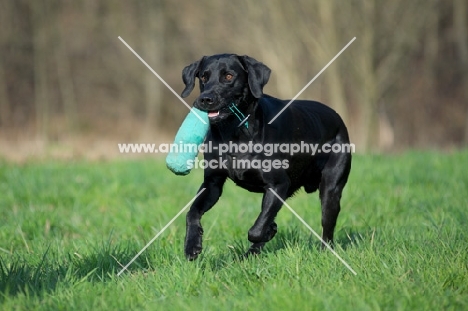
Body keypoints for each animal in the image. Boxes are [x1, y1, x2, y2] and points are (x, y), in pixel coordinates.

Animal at [181, 54, 350, 260]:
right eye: (203, 77)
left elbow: (256, 231)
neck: (234, 132)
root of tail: (337, 117)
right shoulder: (213, 183)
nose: (205, 99)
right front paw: (192, 246)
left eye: (228, 76)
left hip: (331, 190)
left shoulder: (278, 185)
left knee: (327, 228)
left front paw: (269, 231)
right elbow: (192, 212)